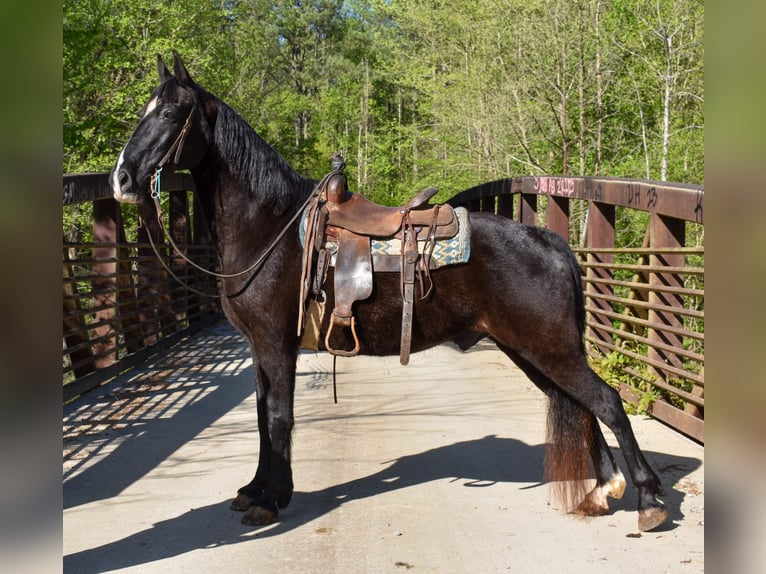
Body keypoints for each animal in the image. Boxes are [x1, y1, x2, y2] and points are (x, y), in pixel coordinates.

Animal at [111, 51, 668, 532]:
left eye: (171, 113)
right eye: (144, 111)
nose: (121, 179)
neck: (269, 227)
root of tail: (550, 242)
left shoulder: (275, 344)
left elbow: (279, 417)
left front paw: (272, 500)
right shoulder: (259, 349)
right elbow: (262, 416)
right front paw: (255, 489)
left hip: (549, 348)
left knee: (607, 401)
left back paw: (647, 499)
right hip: (532, 351)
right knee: (579, 402)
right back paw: (601, 489)